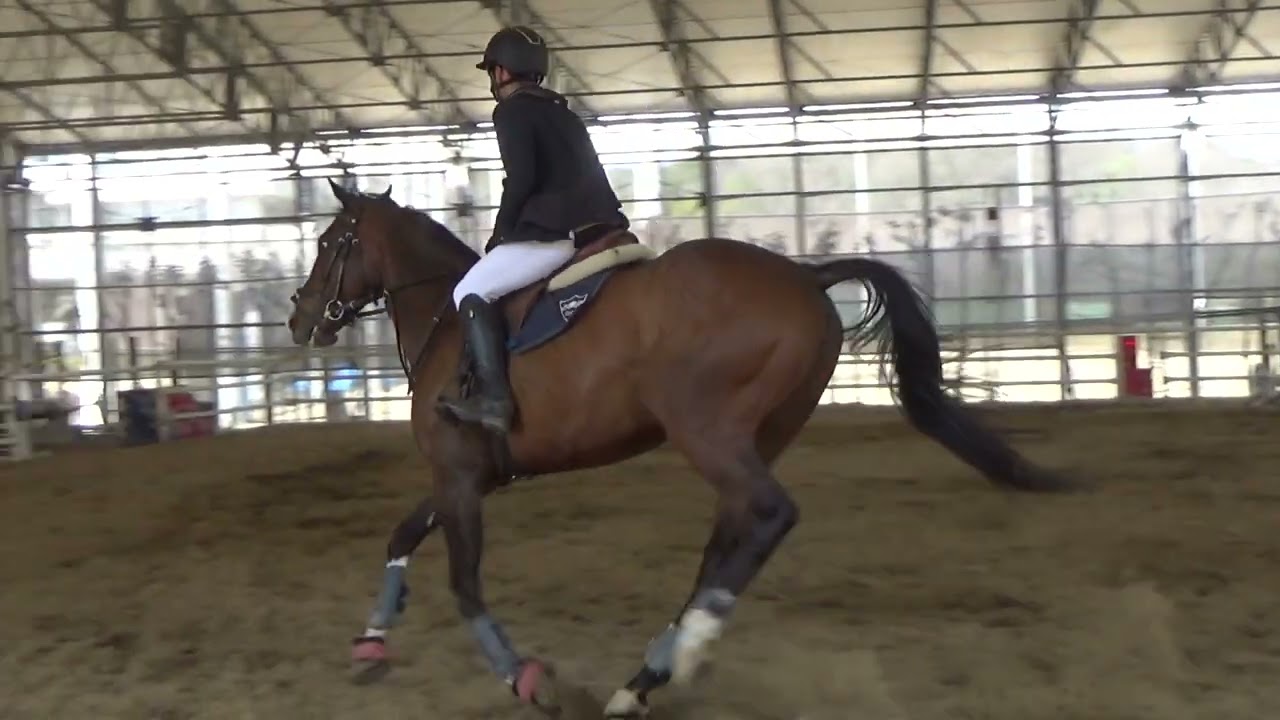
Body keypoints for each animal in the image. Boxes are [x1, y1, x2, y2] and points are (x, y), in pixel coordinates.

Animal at [286, 180, 1075, 718]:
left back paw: (678, 653)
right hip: (756, 436)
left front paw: (528, 679)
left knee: (768, 516)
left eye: (329, 244)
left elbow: (464, 585)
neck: (448, 319)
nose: (299, 319)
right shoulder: (469, 475)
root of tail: (804, 275)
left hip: (709, 432)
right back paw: (649, 675)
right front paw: (370, 644)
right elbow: (401, 536)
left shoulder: (456, 475)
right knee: (731, 538)